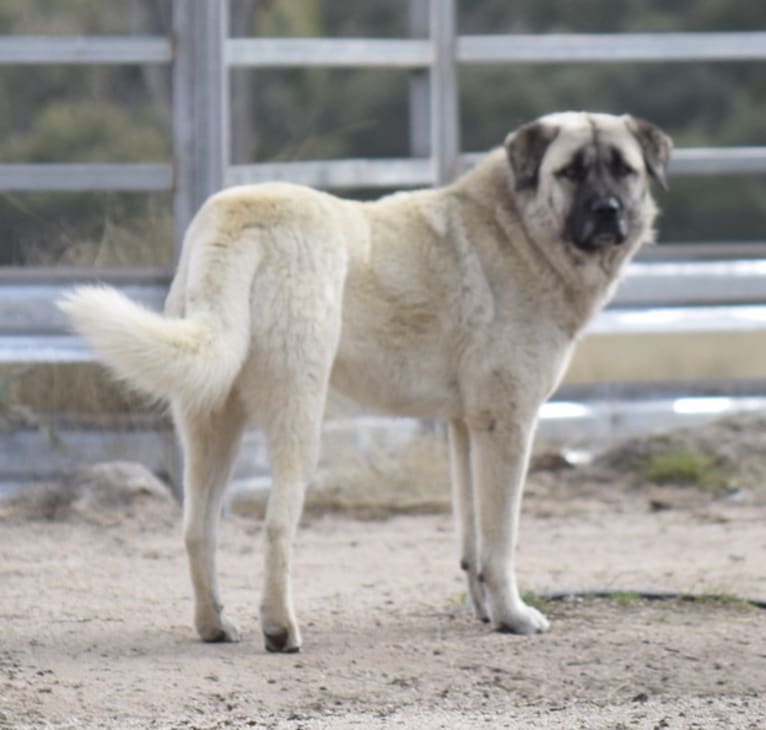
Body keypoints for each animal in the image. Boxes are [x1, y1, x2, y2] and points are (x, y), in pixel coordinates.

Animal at [58, 111, 672, 652]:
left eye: (623, 169)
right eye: (570, 171)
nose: (608, 211)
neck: (517, 226)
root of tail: (237, 215)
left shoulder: (465, 428)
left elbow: (471, 536)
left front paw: (484, 613)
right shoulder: (508, 424)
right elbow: (501, 538)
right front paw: (514, 617)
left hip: (212, 424)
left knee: (196, 530)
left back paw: (214, 625)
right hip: (299, 419)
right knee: (276, 527)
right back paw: (280, 630)